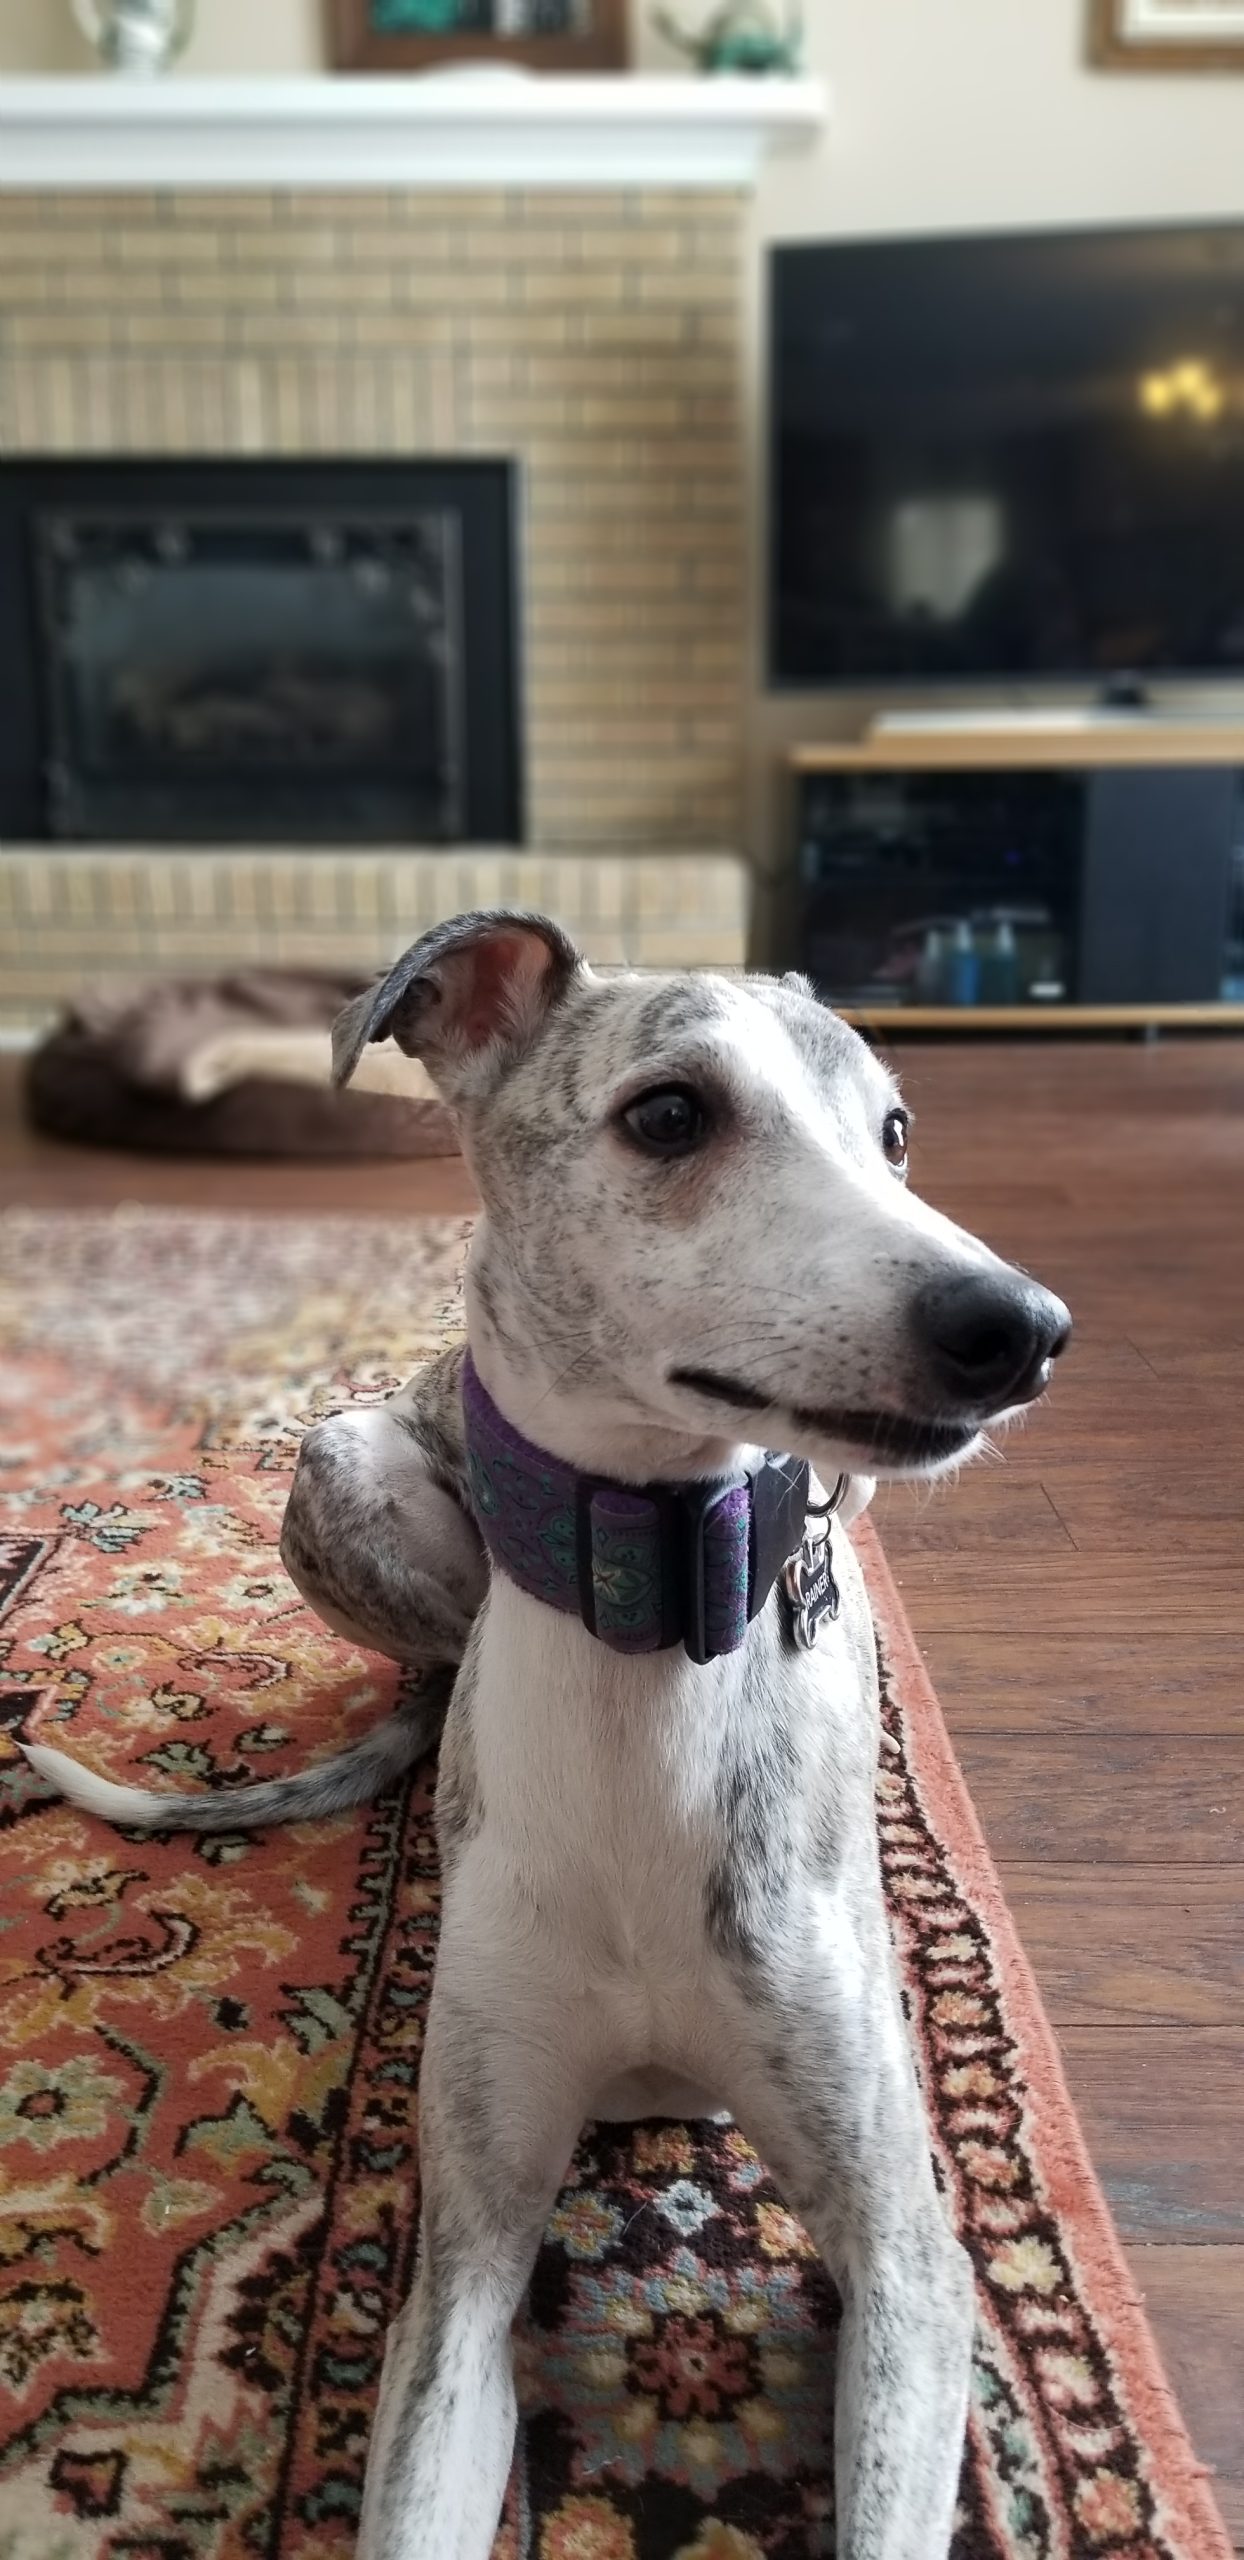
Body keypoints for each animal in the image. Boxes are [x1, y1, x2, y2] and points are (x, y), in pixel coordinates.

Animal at [29, 916, 1069, 2560]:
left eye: (895, 1132)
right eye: (668, 1113)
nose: (1018, 1329)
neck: (650, 1634)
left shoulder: (910, 2254)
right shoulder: (465, 2255)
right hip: (347, 1455)